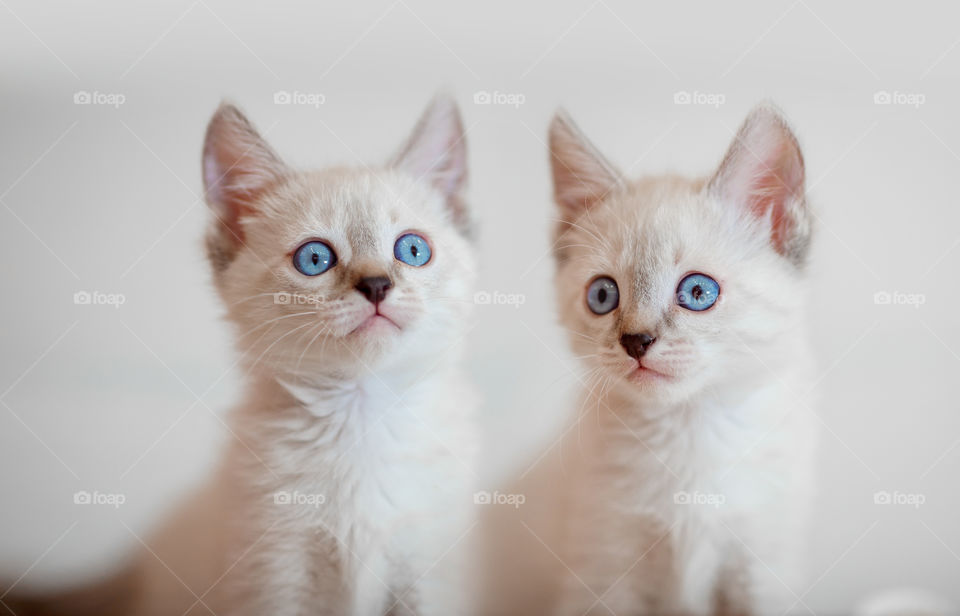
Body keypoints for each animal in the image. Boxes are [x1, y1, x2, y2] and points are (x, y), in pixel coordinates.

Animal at [548, 106, 816, 616]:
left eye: (697, 292)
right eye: (602, 295)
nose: (636, 341)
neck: (687, 429)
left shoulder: (762, 565)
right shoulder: (603, 569)